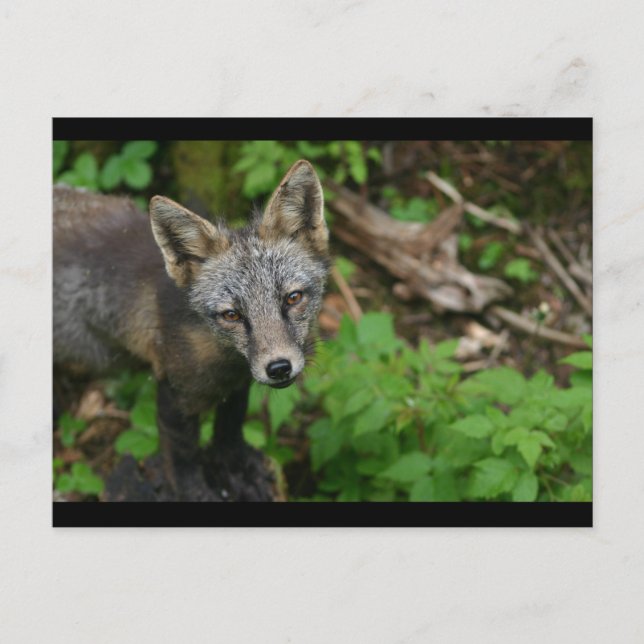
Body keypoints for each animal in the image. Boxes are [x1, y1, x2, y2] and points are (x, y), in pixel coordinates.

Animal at [53, 160, 330, 501]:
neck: (222, 356)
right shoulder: (173, 388)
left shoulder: (237, 385)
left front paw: (236, 468)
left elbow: (229, 430)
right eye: (232, 315)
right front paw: (193, 491)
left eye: (292, 298)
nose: (278, 367)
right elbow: (183, 455)